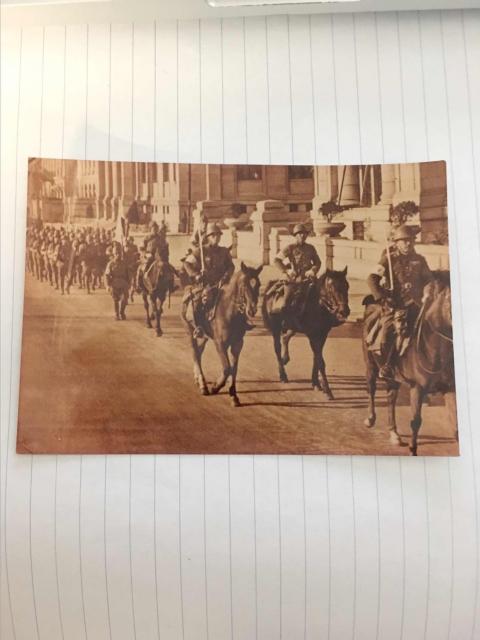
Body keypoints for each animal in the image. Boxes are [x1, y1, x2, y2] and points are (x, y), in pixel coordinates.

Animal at [182, 262, 262, 408]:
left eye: (258, 284)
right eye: (244, 285)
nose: (252, 310)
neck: (229, 312)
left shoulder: (237, 344)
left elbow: (234, 369)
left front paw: (234, 395)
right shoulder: (219, 344)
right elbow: (226, 368)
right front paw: (216, 387)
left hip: (203, 337)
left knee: (198, 353)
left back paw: (198, 379)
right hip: (190, 332)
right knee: (194, 353)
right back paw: (202, 384)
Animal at [262, 266, 348, 398]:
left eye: (347, 286)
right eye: (332, 288)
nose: (345, 311)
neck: (318, 306)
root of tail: (272, 285)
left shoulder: (322, 335)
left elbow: (316, 358)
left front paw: (316, 383)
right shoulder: (312, 336)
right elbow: (320, 361)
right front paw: (327, 389)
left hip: (292, 327)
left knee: (285, 338)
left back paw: (285, 359)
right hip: (275, 328)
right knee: (277, 348)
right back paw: (283, 375)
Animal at [366, 272, 456, 458]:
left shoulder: (450, 388)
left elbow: (456, 425)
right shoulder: (417, 388)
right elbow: (415, 421)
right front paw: (412, 450)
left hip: (393, 378)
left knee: (391, 399)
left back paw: (394, 433)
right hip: (370, 365)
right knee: (371, 389)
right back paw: (370, 418)